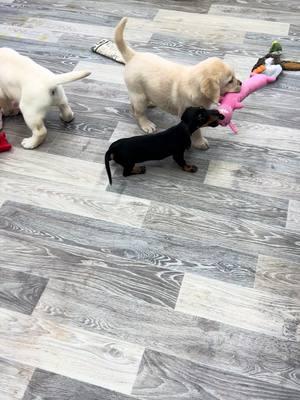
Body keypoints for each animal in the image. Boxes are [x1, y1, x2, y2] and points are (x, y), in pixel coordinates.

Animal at [114, 17, 241, 150]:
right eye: (230, 81)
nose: (241, 83)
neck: (194, 85)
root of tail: (134, 56)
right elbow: (196, 131)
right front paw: (200, 142)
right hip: (139, 95)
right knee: (138, 112)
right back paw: (146, 124)